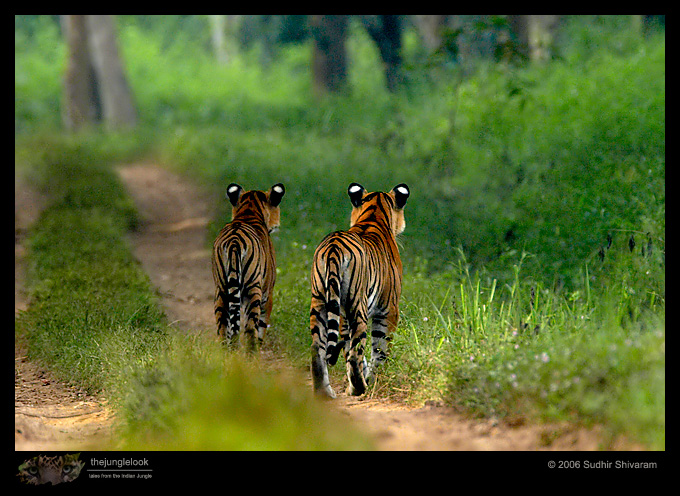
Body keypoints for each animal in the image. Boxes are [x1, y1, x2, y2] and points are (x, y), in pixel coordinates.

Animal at [212, 182, 285, 350]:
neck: (249, 211)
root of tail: (234, 242)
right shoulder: (267, 294)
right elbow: (261, 327)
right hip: (253, 290)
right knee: (251, 329)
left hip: (222, 290)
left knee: (222, 328)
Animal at [309, 182, 410, 398]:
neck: (374, 213)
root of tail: (333, 248)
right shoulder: (388, 311)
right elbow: (379, 351)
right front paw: (372, 380)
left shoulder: (342, 314)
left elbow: (347, 349)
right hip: (357, 305)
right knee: (356, 351)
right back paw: (359, 388)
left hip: (320, 302)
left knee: (317, 349)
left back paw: (325, 392)